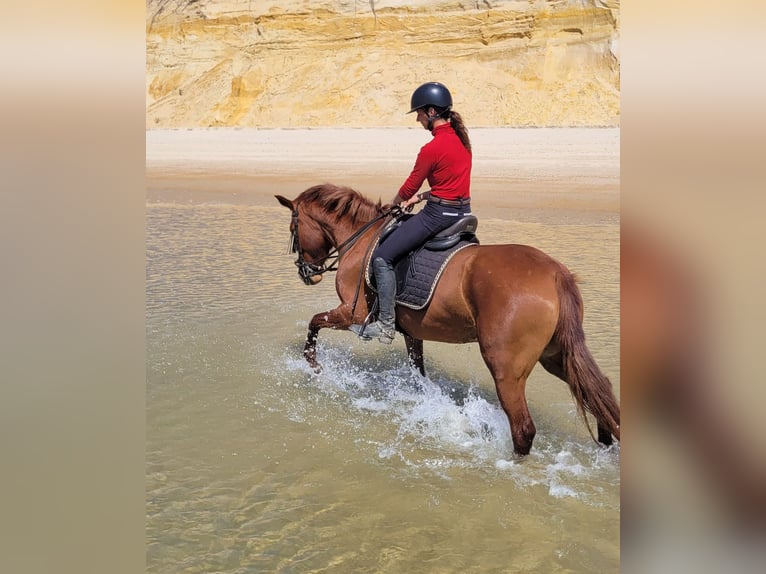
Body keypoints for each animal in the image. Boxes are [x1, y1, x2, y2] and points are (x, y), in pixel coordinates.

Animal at [275, 183, 620, 455]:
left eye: (293, 230)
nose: (307, 274)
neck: (362, 238)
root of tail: (556, 273)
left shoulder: (351, 313)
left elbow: (314, 323)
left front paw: (315, 367)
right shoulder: (411, 332)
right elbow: (418, 372)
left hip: (506, 368)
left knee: (523, 427)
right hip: (555, 355)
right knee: (598, 389)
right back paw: (609, 444)